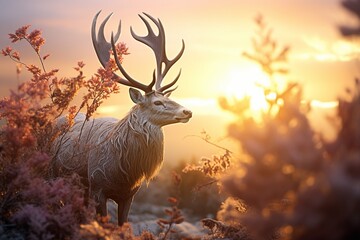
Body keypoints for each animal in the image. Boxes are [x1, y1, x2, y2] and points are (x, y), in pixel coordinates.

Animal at [52, 10, 193, 225]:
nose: (187, 112)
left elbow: (122, 225)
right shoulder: (97, 187)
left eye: (169, 98)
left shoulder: (129, 195)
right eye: (157, 103)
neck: (125, 172)